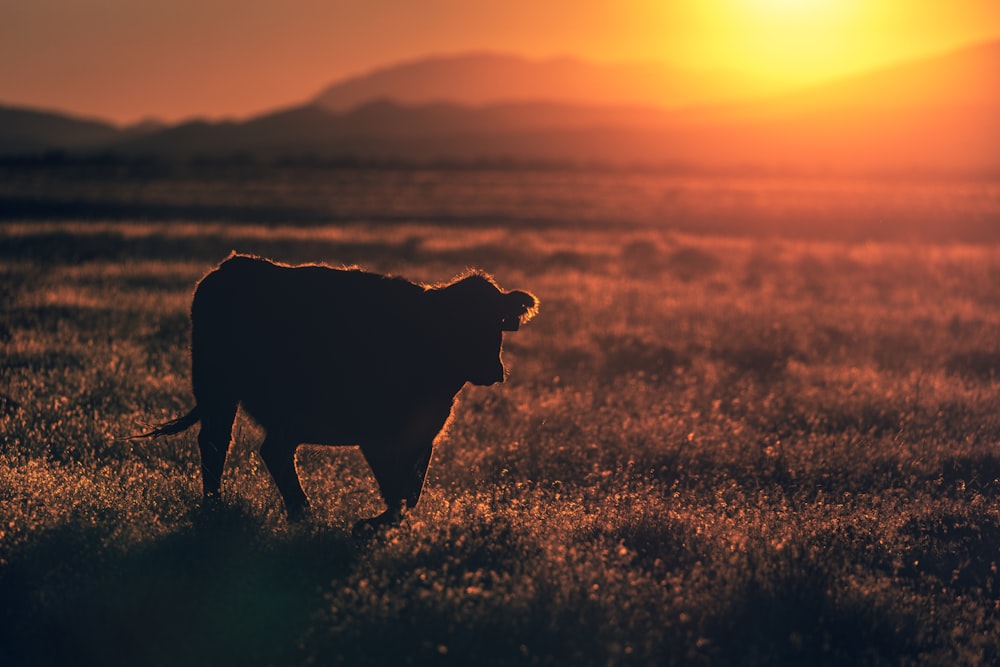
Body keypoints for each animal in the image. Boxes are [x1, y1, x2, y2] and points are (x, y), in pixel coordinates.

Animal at [135, 253, 540, 536]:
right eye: (460, 324)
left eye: (497, 323)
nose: (492, 370)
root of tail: (231, 266)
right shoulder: (375, 434)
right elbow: (396, 493)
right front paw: (369, 526)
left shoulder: (424, 434)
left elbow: (410, 492)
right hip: (217, 389)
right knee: (218, 443)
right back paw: (221, 507)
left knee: (271, 451)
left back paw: (299, 512)